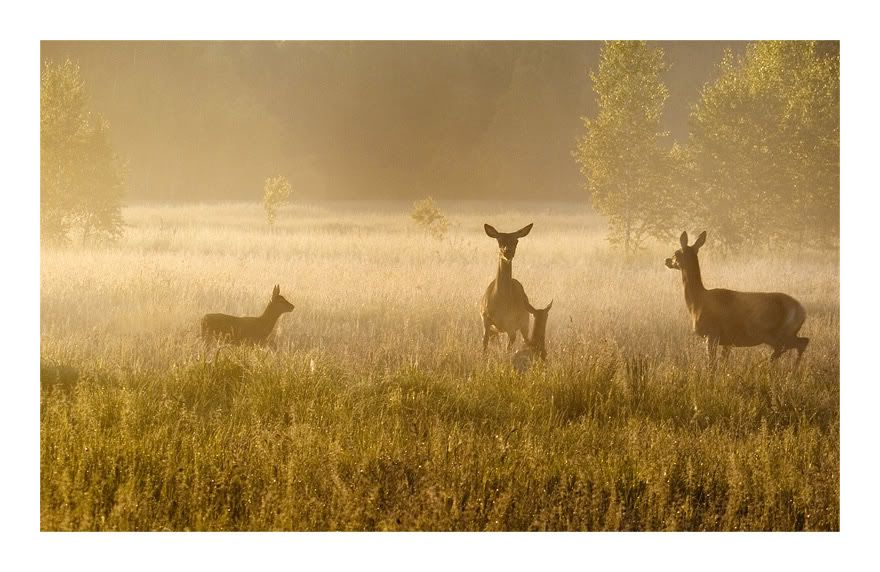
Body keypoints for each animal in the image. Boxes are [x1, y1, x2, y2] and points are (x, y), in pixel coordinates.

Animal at [664, 231, 808, 362]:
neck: (697, 302)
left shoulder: (712, 333)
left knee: (796, 345)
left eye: (676, 253)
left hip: (778, 333)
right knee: (801, 342)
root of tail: (802, 311)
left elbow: (711, 364)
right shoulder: (728, 341)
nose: (667, 260)